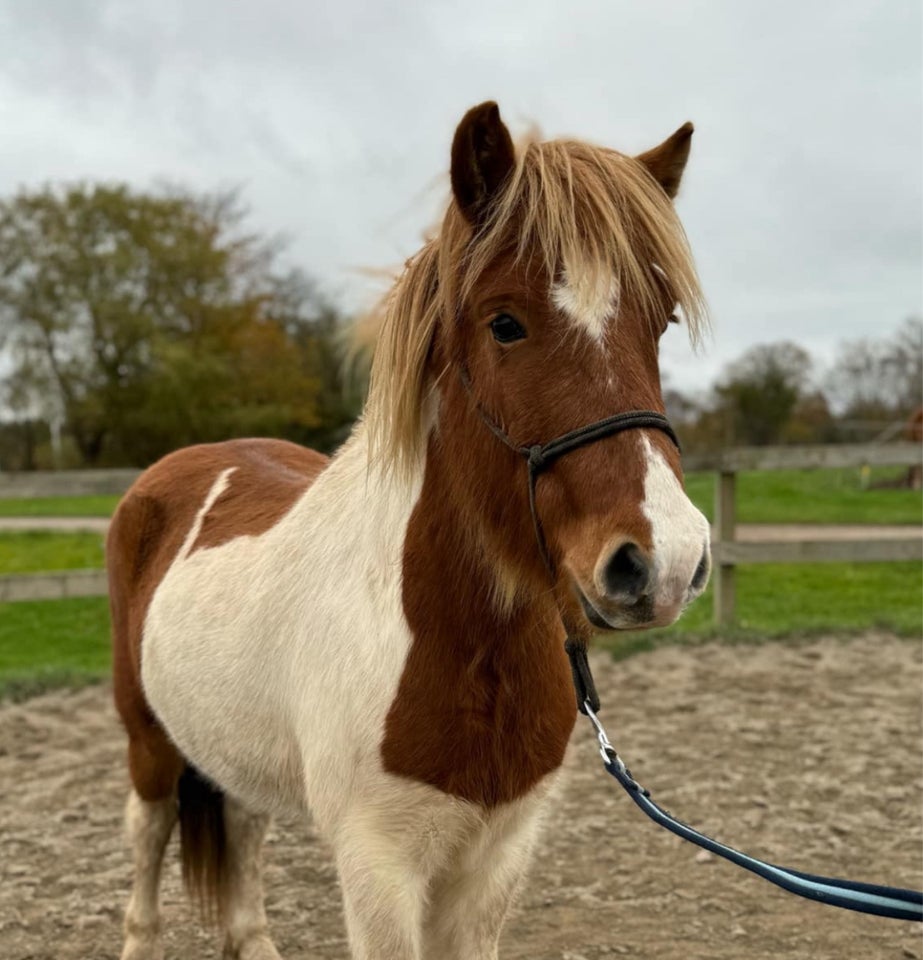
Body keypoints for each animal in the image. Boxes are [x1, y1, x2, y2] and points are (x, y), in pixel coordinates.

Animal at [110, 103, 716, 960]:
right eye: (504, 324)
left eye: (659, 321)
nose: (664, 561)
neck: (455, 643)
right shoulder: (378, 865)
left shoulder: (498, 856)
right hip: (148, 741)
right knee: (147, 837)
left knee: (243, 832)